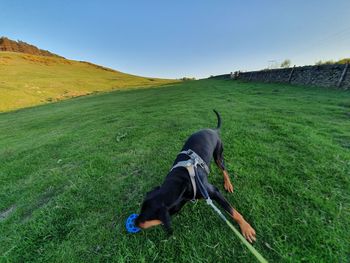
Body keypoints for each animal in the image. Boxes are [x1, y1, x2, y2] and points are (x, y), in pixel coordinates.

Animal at [135, 110, 256, 244]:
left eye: (146, 218)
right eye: (141, 209)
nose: (134, 222)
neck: (181, 183)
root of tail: (213, 130)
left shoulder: (213, 192)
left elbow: (232, 211)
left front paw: (246, 227)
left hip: (218, 155)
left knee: (224, 169)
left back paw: (228, 183)